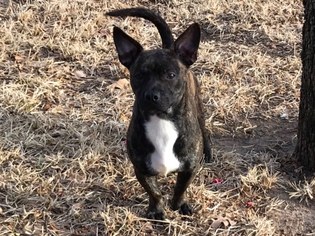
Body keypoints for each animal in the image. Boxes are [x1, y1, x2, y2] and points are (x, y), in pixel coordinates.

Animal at [107, 7, 212, 220]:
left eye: (170, 75)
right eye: (139, 75)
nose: (151, 95)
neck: (161, 120)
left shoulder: (189, 169)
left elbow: (180, 188)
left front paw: (179, 205)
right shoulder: (141, 170)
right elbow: (154, 192)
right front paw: (156, 210)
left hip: (199, 107)